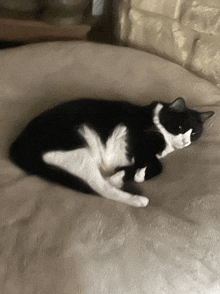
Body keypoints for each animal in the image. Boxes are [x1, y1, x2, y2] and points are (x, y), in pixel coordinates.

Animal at [9, 98, 214, 207]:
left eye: (194, 133)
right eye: (180, 127)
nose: (185, 142)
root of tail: (17, 144)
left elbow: (138, 165)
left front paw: (121, 176)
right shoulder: (137, 142)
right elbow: (156, 165)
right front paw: (139, 176)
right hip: (79, 150)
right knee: (100, 188)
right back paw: (137, 199)